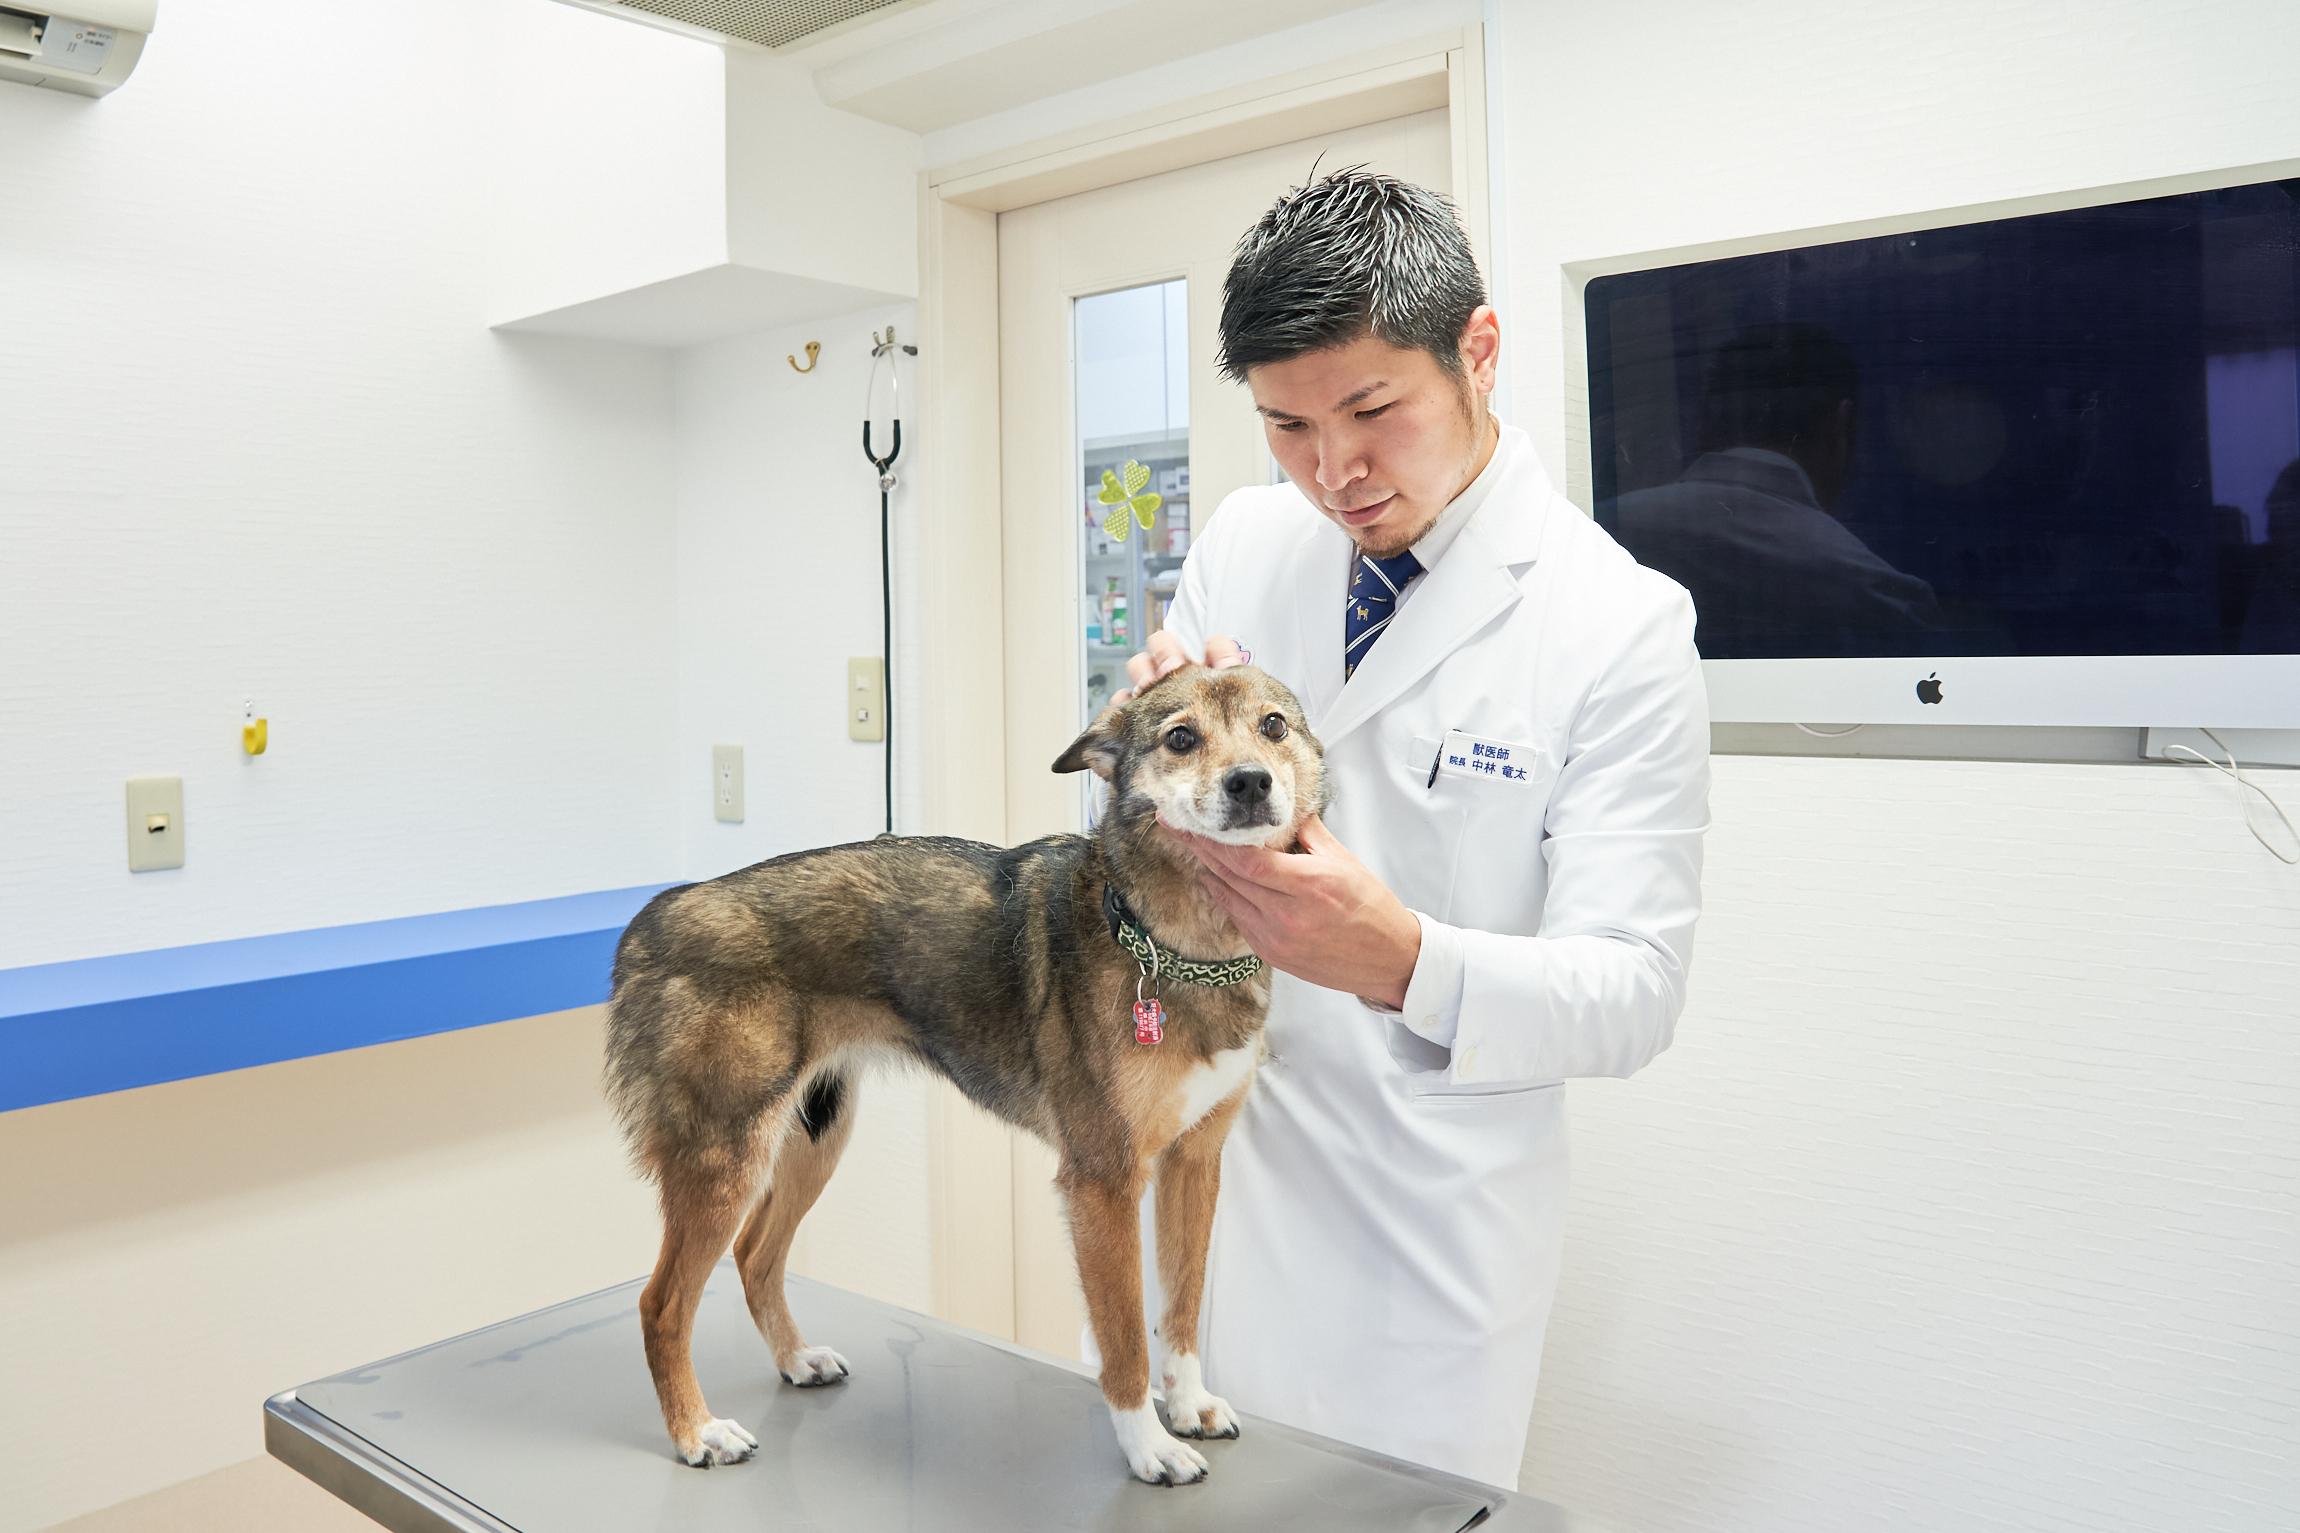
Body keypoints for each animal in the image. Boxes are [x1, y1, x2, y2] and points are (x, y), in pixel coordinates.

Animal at [602, 661, 1324, 1489]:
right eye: (1180, 737)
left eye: (1274, 726)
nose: (1251, 781)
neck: (1179, 945)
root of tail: (653, 919)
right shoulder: (1103, 1179)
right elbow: (1123, 1339)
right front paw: (1148, 1443)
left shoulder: (1193, 1161)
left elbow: (1178, 1309)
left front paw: (1190, 1403)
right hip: (725, 1155)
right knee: (662, 1303)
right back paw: (696, 1431)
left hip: (815, 1136)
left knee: (756, 1256)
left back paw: (796, 1358)